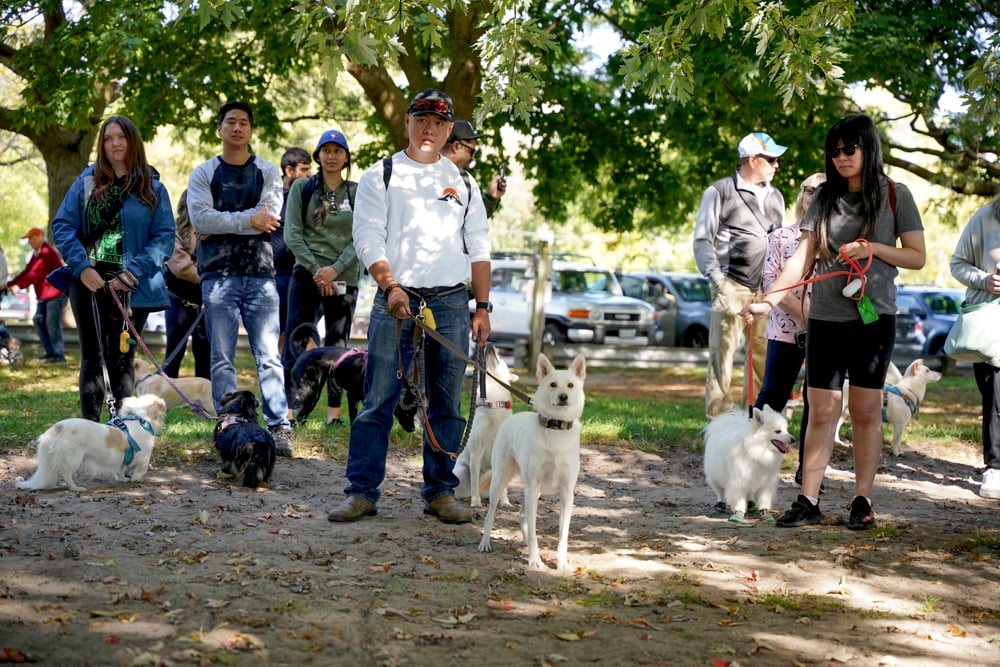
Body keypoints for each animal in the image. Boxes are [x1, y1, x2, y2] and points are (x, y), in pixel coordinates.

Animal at [15, 396, 167, 490]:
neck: (140, 420)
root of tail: (55, 429)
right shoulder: (144, 457)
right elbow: (141, 470)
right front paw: (136, 479)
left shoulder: (123, 458)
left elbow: (120, 469)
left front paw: (122, 479)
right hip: (73, 458)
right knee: (66, 474)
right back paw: (75, 488)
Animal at [452, 348, 516, 508]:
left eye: (500, 356)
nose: (490, 344)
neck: (495, 402)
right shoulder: (476, 453)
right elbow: (474, 482)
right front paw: (476, 502)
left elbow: (504, 489)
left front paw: (505, 502)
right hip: (462, 471)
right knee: (464, 489)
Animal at [478, 352, 584, 572]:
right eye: (553, 384)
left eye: (570, 385)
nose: (563, 397)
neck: (555, 427)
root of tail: (512, 418)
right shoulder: (533, 486)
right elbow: (535, 530)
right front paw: (535, 560)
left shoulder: (566, 492)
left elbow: (563, 534)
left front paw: (562, 562)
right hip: (501, 482)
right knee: (491, 514)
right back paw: (485, 543)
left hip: (534, 491)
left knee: (522, 514)